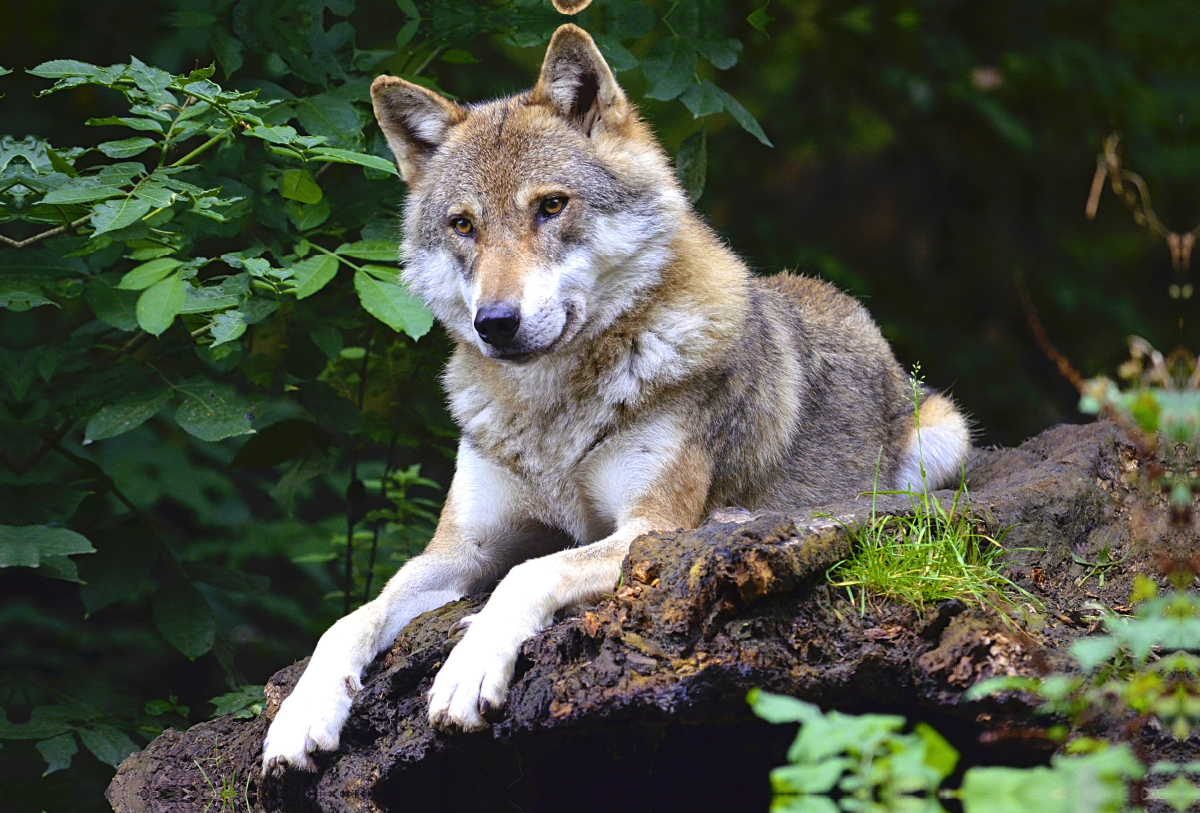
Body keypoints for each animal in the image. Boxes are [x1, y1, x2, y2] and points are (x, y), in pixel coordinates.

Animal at [260, 23, 964, 777]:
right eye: (462, 225)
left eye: (551, 205)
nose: (494, 323)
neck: (551, 414)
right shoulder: (459, 549)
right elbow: (350, 618)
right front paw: (301, 714)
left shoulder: (645, 529)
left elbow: (529, 573)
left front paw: (467, 668)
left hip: (943, 439)